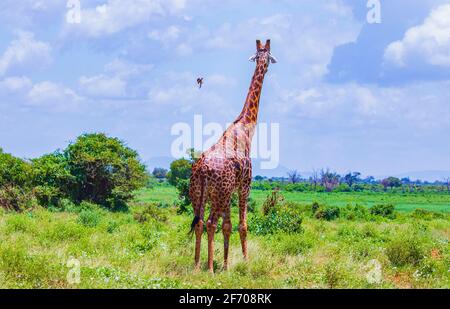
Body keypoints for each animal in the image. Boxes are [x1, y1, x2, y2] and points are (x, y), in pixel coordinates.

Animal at [188, 39, 276, 272]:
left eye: (265, 55)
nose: (266, 66)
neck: (246, 128)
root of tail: (203, 169)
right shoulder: (244, 185)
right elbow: (242, 225)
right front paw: (245, 263)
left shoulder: (229, 192)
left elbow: (227, 226)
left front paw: (226, 266)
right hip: (218, 194)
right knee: (210, 223)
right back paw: (209, 269)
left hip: (199, 194)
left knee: (200, 222)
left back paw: (197, 265)